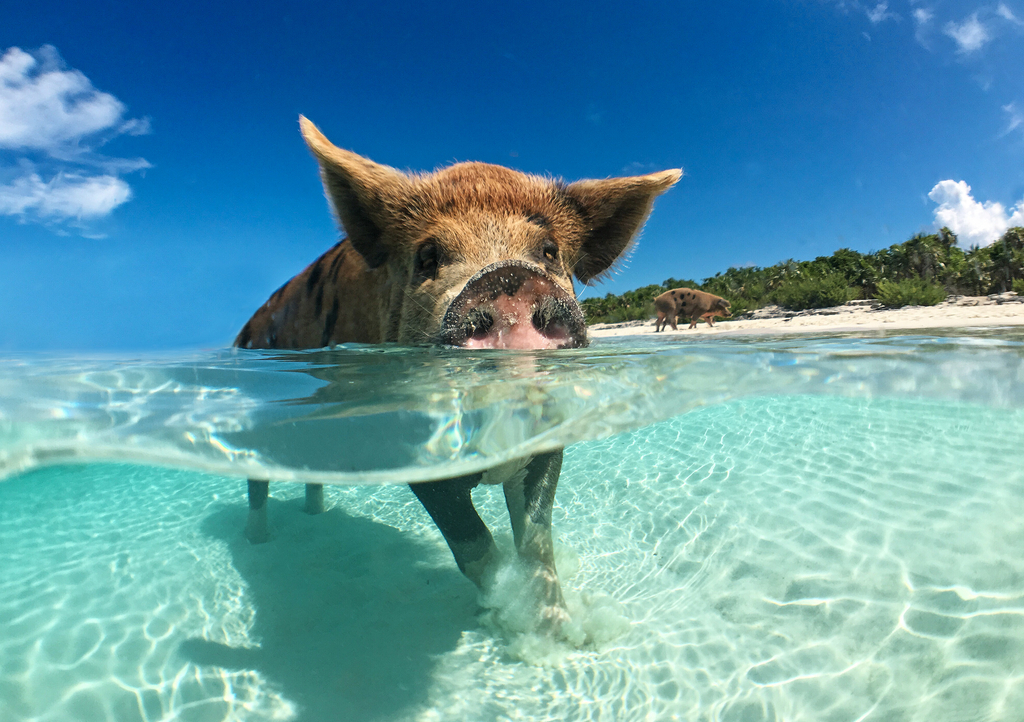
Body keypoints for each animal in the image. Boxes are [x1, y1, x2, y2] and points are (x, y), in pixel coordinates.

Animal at [236, 116, 680, 628]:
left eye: (549, 251)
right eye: (427, 255)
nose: (508, 277)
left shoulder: (549, 439)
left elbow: (537, 543)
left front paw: (562, 633)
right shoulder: (413, 448)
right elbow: (474, 547)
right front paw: (505, 619)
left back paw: (314, 518)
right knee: (256, 482)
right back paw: (257, 541)